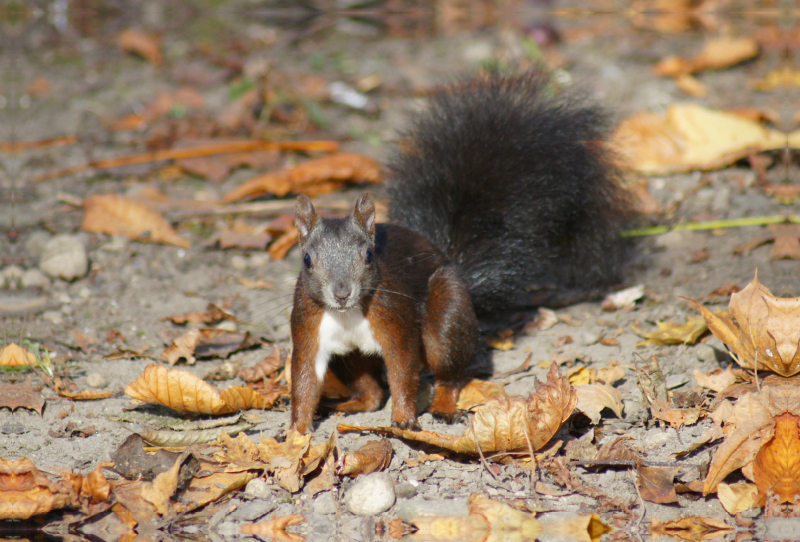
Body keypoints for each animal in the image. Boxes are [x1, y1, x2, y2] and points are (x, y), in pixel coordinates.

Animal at [290, 71, 636, 434]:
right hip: (349, 359)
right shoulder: (307, 328)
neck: (346, 314)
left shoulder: (396, 322)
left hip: (448, 313)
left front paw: (404, 417)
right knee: (369, 389)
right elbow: (304, 378)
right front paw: (297, 432)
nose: (342, 293)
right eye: (307, 260)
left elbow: (402, 370)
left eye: (369, 256)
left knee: (447, 372)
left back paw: (442, 406)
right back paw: (350, 405)